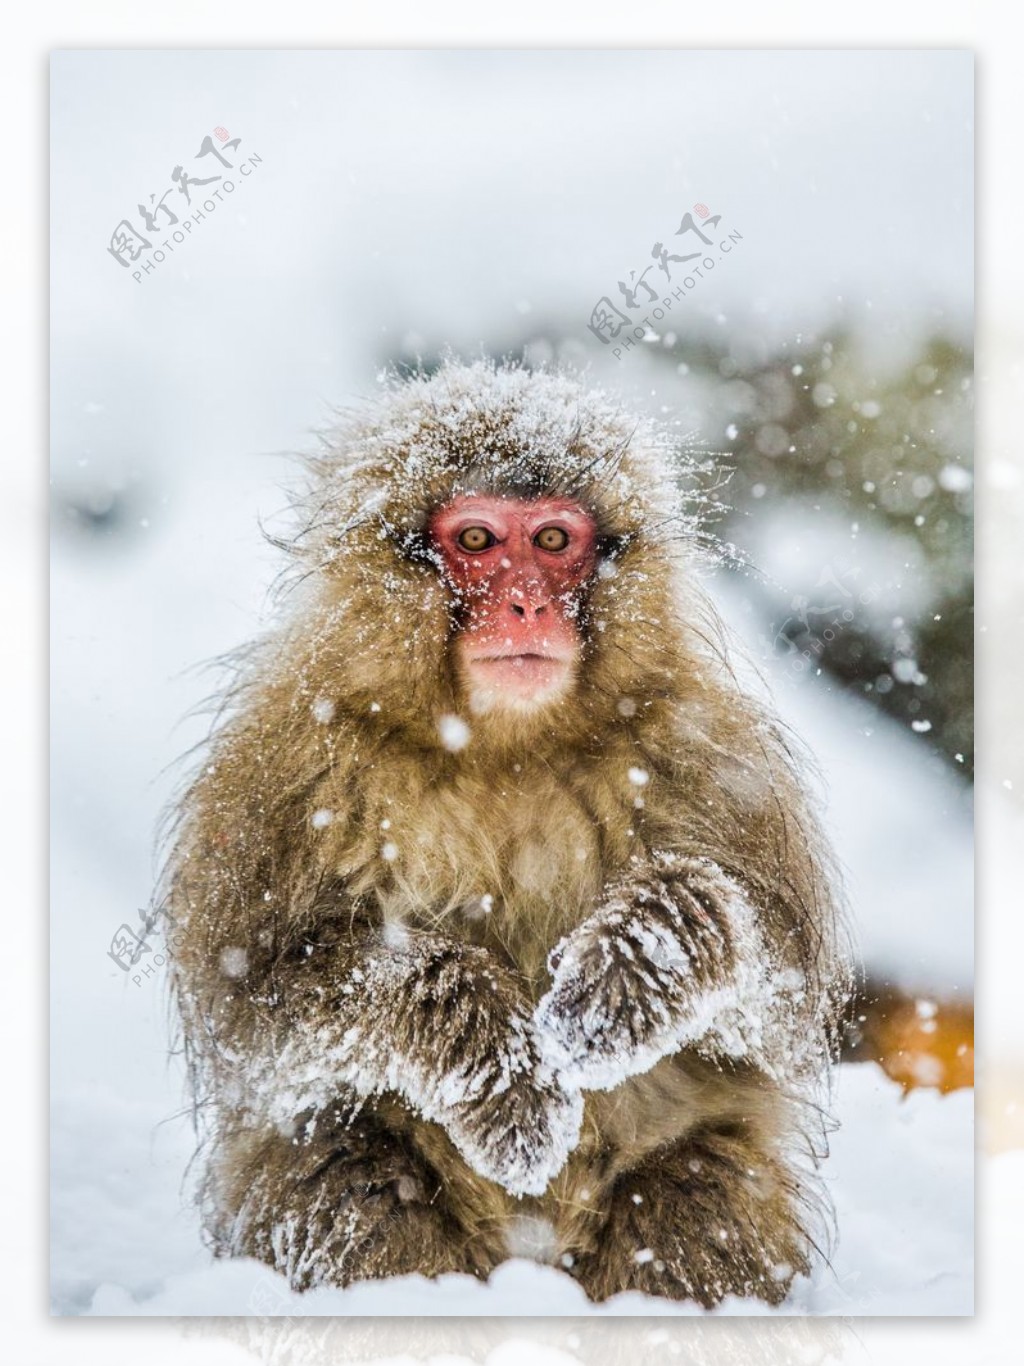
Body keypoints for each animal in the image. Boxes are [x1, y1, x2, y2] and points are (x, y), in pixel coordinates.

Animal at [166, 357, 851, 1305]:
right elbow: (258, 996)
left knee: (701, 1192)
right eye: (480, 540)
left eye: (555, 540)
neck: (504, 749)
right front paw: (492, 1056)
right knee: (340, 1176)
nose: (526, 605)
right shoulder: (285, 766)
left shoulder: (708, 750)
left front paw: (642, 959)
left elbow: (776, 989)